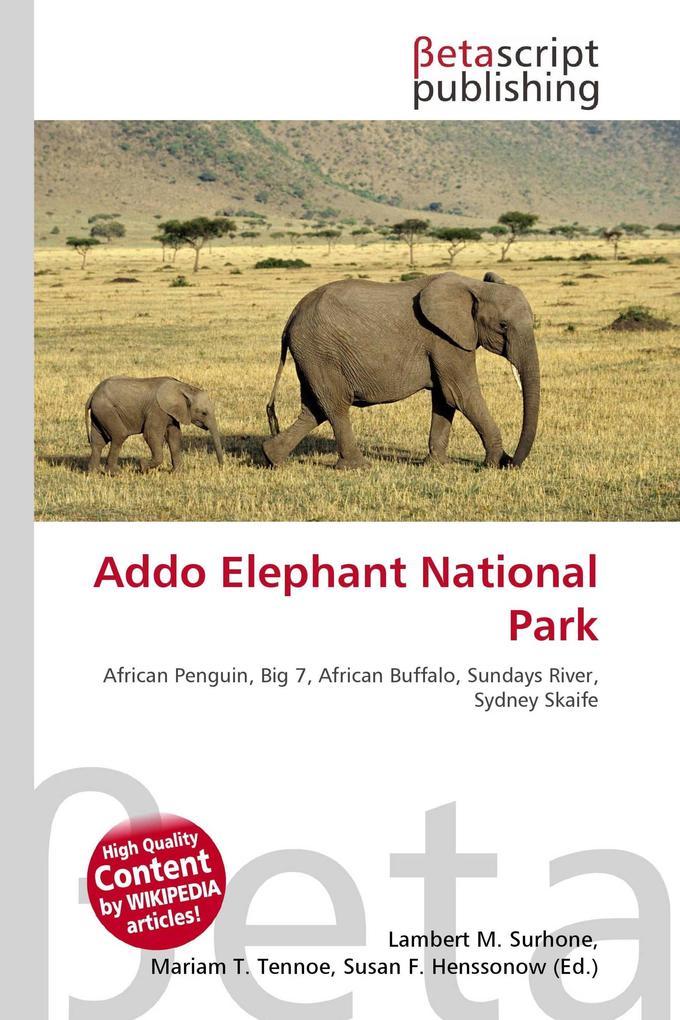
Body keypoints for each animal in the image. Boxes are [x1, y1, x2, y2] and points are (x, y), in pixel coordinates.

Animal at [85, 377, 224, 474]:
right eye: (204, 413)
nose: (220, 467)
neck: (183, 387)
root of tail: (93, 393)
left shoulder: (171, 414)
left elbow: (174, 437)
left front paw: (177, 473)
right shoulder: (157, 410)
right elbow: (151, 435)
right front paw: (142, 466)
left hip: (99, 413)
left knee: (98, 442)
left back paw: (93, 473)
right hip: (106, 410)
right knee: (119, 436)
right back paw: (115, 473)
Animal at [263, 271, 539, 470]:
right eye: (503, 325)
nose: (511, 462)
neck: (474, 286)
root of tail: (292, 317)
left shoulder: (446, 341)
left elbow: (445, 399)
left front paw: (438, 465)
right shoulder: (445, 340)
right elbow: (461, 394)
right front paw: (492, 464)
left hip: (313, 355)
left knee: (316, 409)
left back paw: (271, 457)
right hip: (320, 351)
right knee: (336, 405)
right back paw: (359, 467)